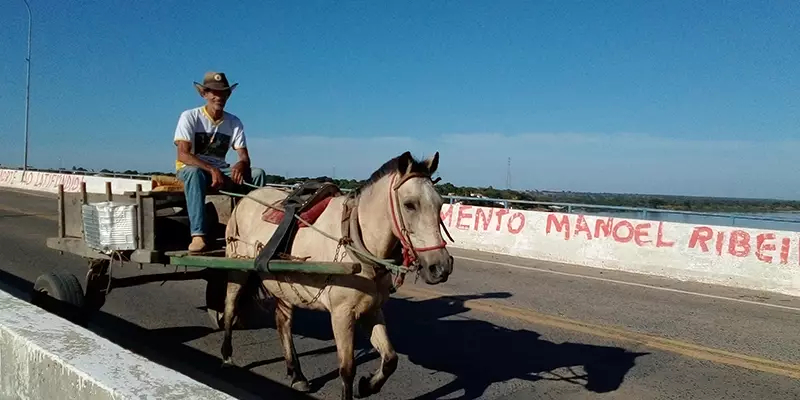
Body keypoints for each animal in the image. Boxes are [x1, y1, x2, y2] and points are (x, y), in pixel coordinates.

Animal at [222, 151, 454, 400]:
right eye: (410, 205)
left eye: (440, 204)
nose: (441, 267)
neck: (357, 242)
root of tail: (247, 197)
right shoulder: (342, 315)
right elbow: (347, 369)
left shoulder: (371, 310)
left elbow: (391, 358)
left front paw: (368, 385)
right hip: (238, 269)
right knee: (230, 308)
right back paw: (226, 355)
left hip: (283, 282)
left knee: (283, 322)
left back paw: (296, 374)